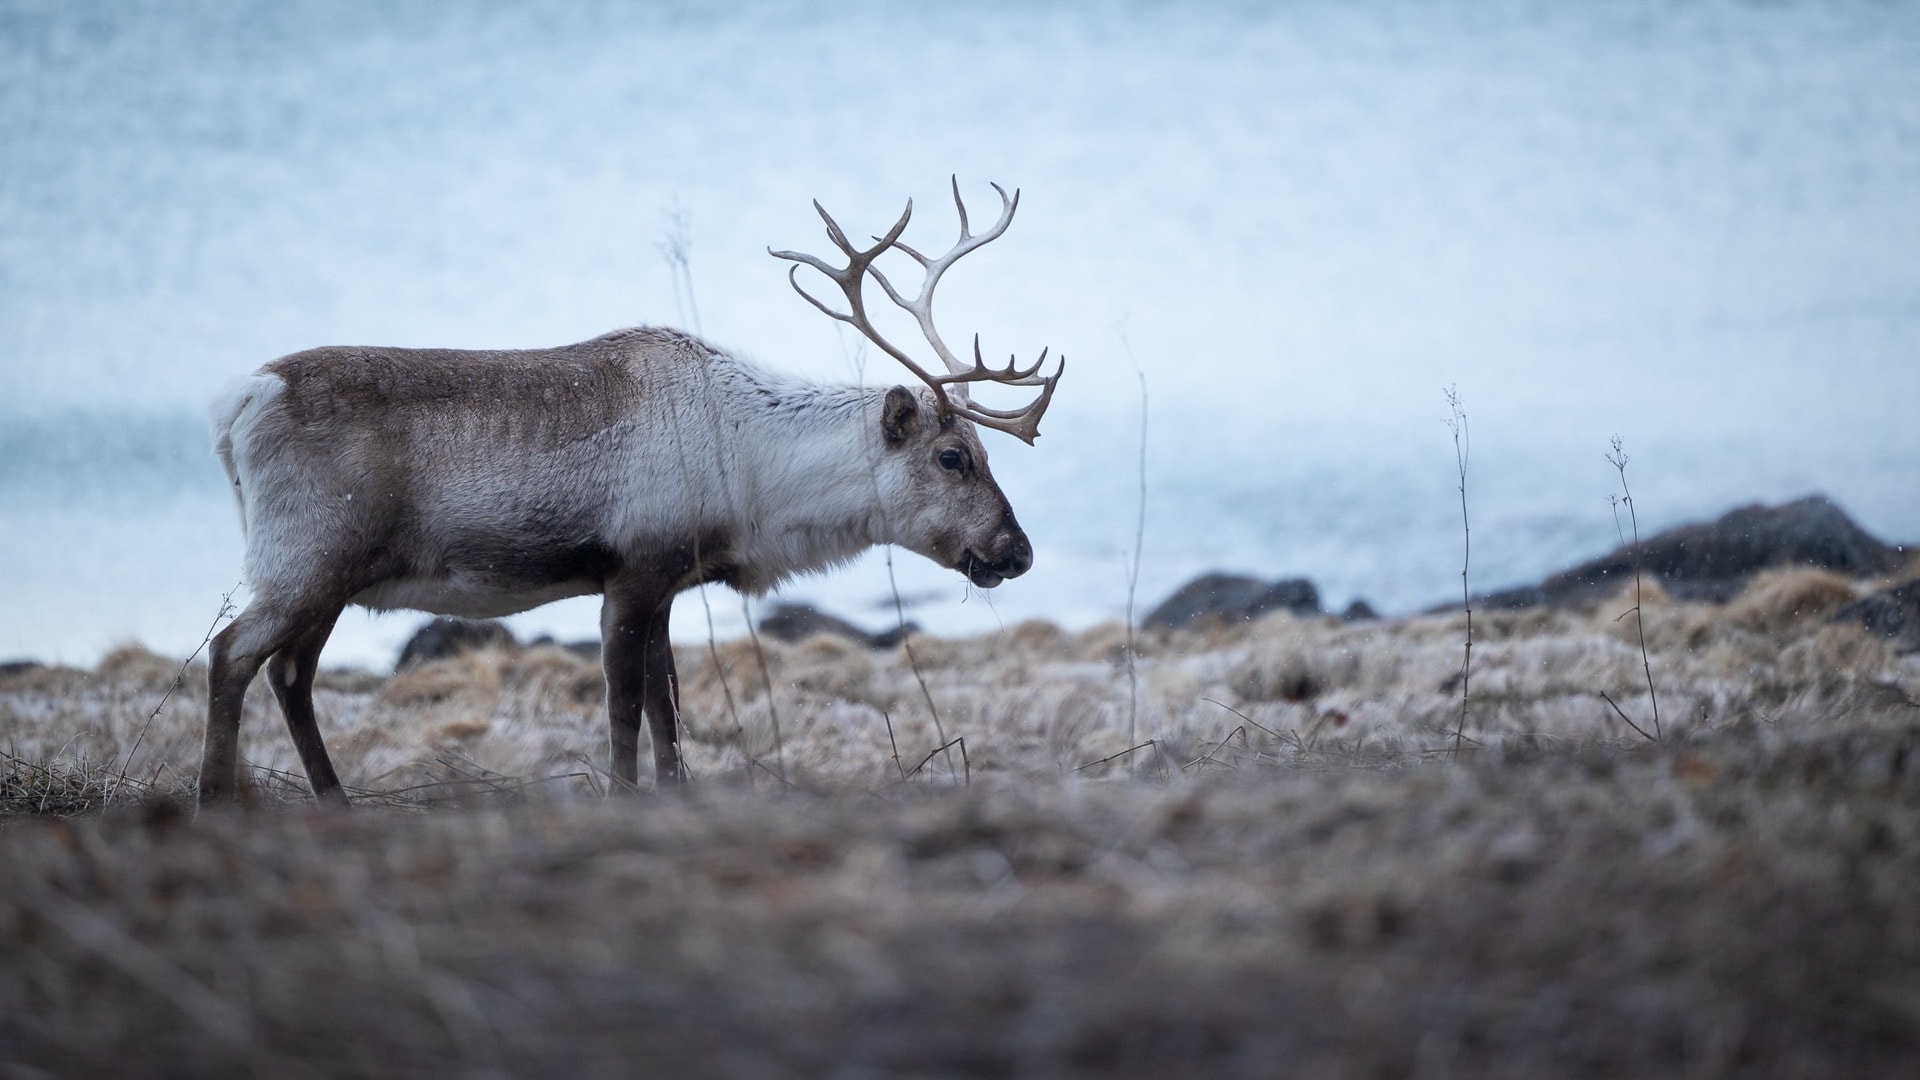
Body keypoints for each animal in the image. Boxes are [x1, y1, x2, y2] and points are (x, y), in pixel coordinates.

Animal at [198, 179, 1062, 809]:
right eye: (953, 457)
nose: (1016, 551)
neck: (747, 468)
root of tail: (238, 401)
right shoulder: (631, 569)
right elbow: (624, 711)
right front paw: (622, 798)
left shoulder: (670, 582)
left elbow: (665, 708)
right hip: (304, 557)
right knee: (233, 653)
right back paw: (215, 801)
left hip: (332, 576)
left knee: (290, 673)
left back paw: (335, 802)